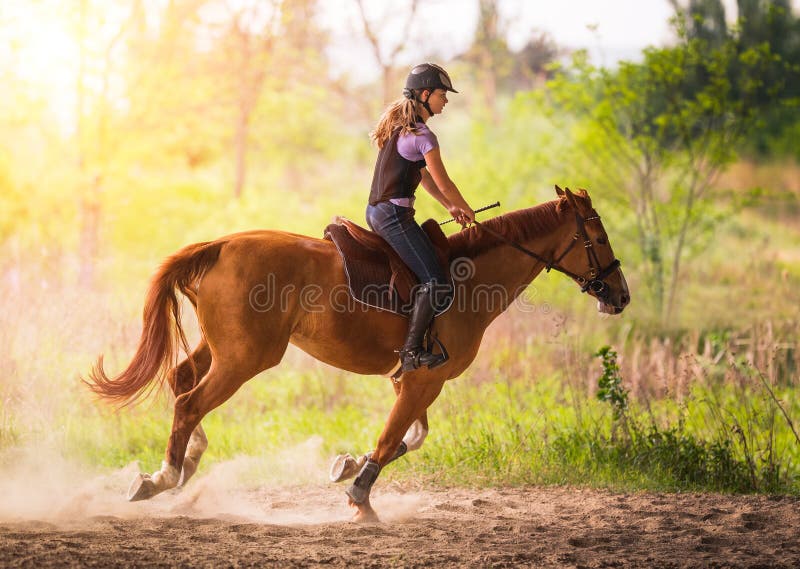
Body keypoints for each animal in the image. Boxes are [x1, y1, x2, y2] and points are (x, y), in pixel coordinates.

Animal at [86, 186, 624, 520]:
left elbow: (411, 437)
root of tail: (218, 244)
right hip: (245, 359)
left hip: (220, 349)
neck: (469, 276)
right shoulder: (424, 379)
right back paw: (165, 476)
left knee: (182, 381)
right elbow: (393, 439)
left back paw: (184, 464)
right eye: (598, 238)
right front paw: (360, 497)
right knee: (190, 402)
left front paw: (347, 464)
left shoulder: (413, 379)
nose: (620, 296)